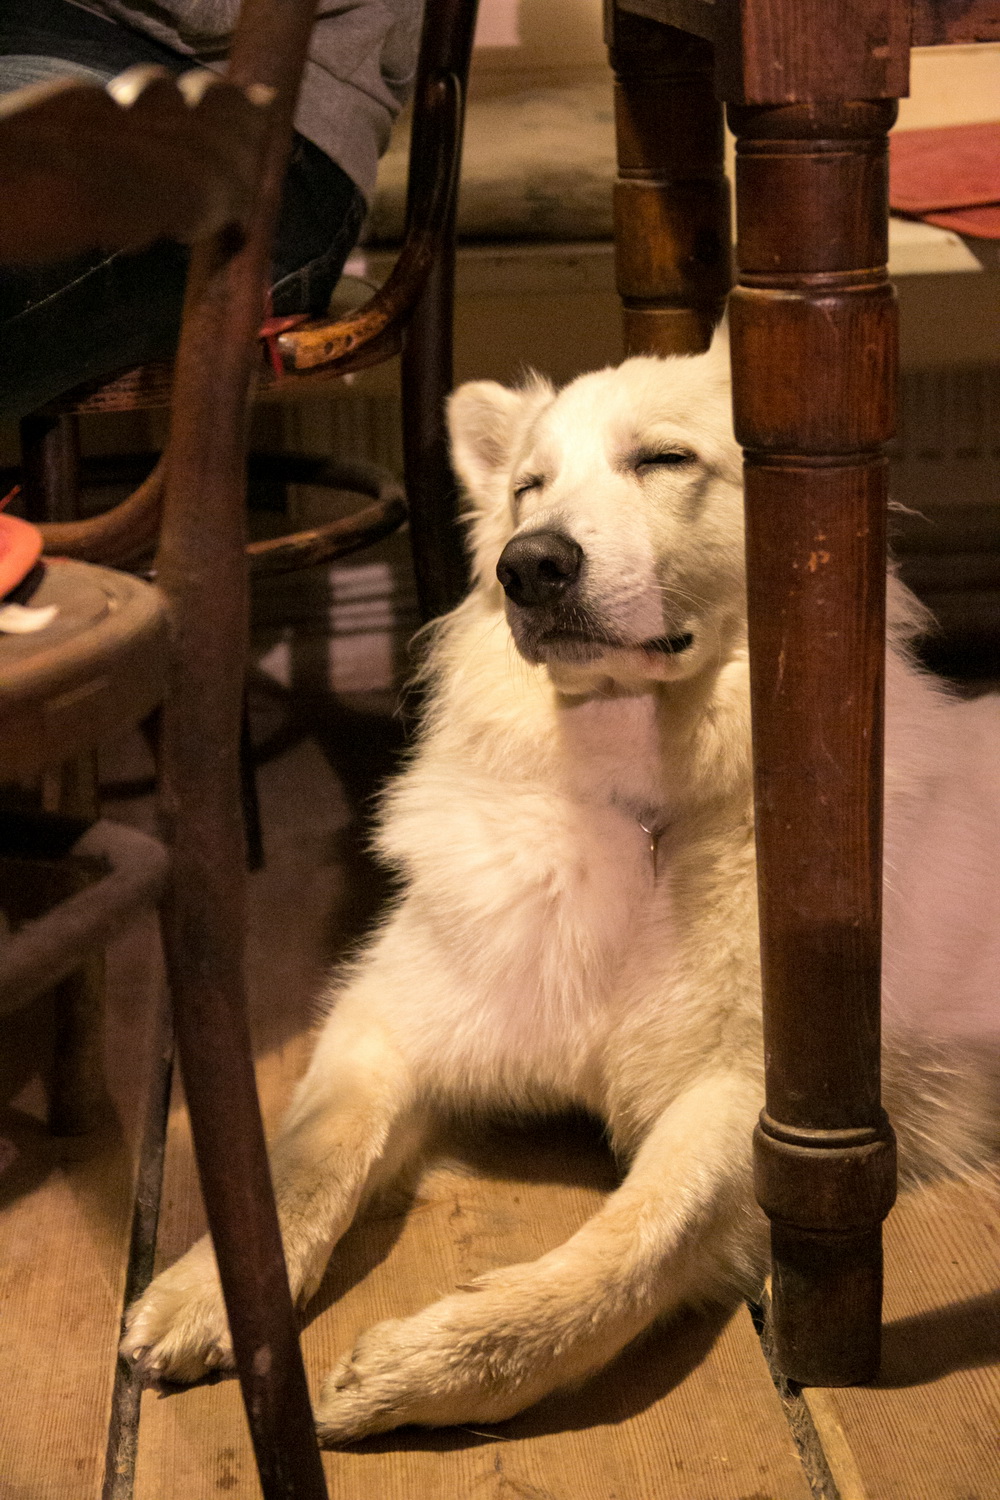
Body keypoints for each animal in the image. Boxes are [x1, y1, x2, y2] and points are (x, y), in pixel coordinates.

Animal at [122, 336, 1000, 1441]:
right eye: (528, 488)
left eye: (664, 460)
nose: (528, 565)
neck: (638, 810)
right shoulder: (384, 1022)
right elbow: (304, 1169)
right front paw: (208, 1293)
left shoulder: (743, 1104)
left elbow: (630, 1244)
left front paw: (440, 1366)